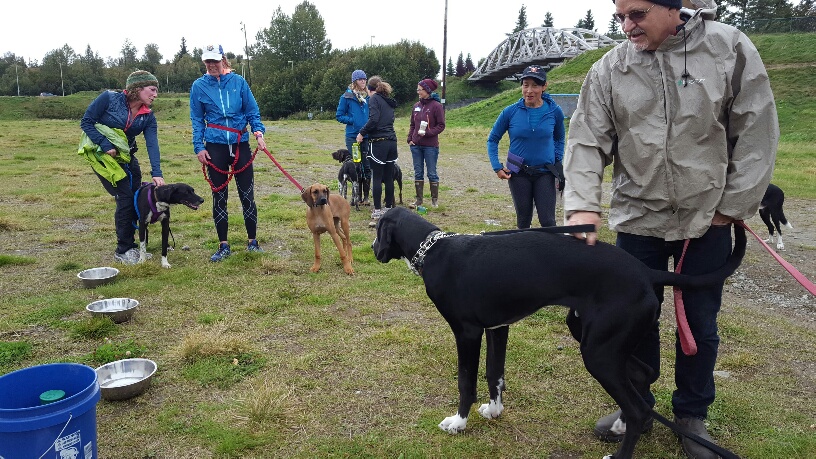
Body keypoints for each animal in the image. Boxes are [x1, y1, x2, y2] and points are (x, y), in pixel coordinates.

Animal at [372, 208, 744, 459]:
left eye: (377, 229)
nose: (375, 250)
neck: (434, 249)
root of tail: (646, 271)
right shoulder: (498, 328)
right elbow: (495, 374)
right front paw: (494, 411)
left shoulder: (467, 333)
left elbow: (466, 381)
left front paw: (458, 423)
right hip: (596, 339)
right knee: (645, 374)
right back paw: (620, 424)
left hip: (598, 353)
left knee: (639, 406)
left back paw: (622, 448)